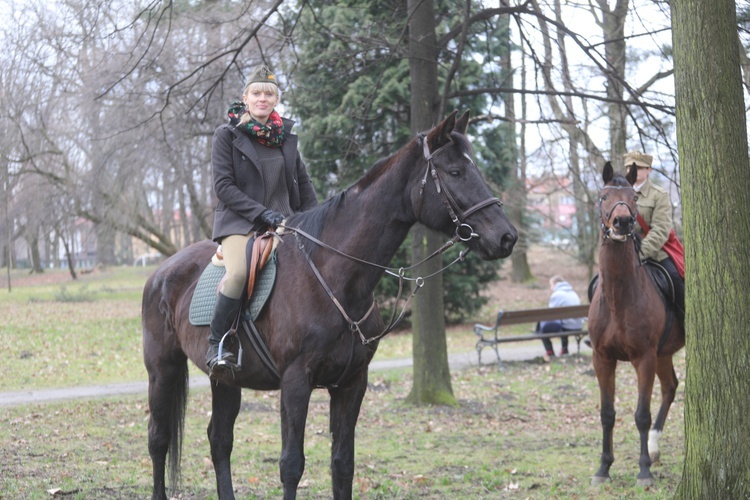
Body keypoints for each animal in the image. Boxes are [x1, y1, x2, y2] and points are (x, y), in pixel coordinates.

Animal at [141, 110, 516, 500]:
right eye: (455, 172)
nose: (507, 237)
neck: (334, 276)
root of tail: (161, 272)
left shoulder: (352, 383)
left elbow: (343, 464)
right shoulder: (295, 382)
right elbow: (292, 465)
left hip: (226, 379)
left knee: (219, 440)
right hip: (163, 369)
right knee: (159, 439)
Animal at [592, 162, 692, 486]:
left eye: (633, 198)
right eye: (604, 196)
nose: (623, 222)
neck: (618, 297)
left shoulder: (644, 358)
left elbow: (641, 415)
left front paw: (644, 469)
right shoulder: (602, 359)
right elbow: (607, 414)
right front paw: (604, 467)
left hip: (657, 355)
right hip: (663, 353)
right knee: (670, 387)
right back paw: (655, 445)